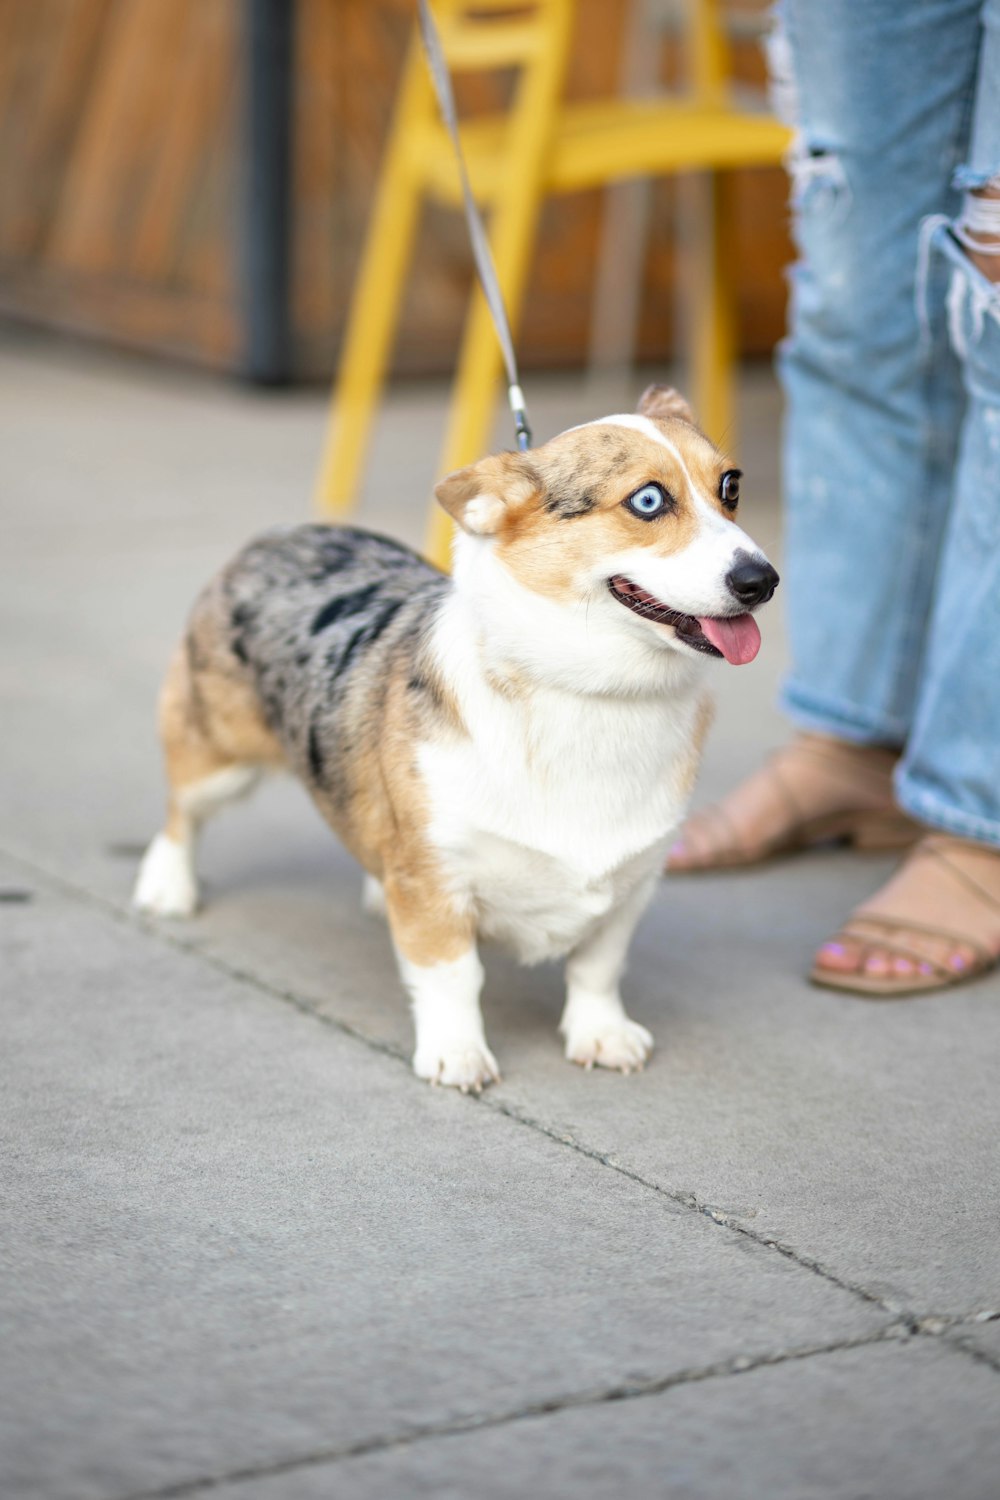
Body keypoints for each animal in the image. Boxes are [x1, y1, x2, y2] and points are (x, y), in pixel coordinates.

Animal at [132, 387, 779, 1092]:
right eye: (649, 500)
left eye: (731, 486)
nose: (762, 581)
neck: (590, 693)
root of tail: (281, 533)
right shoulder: (435, 879)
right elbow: (452, 974)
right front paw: (456, 1053)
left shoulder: (630, 886)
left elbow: (597, 969)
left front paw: (602, 1035)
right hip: (216, 758)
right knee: (180, 814)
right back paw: (167, 887)